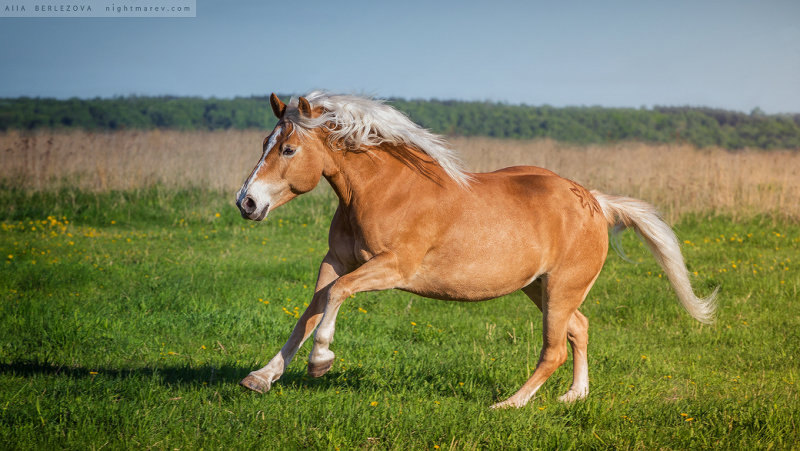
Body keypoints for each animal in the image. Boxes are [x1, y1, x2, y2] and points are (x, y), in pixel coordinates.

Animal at [234, 92, 716, 410]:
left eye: (289, 148)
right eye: (263, 144)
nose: (247, 203)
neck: (384, 190)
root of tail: (596, 202)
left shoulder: (393, 267)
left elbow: (336, 296)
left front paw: (321, 361)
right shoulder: (336, 261)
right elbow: (311, 309)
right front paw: (261, 378)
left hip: (561, 288)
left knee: (554, 349)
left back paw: (509, 405)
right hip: (541, 288)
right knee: (579, 328)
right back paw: (574, 396)